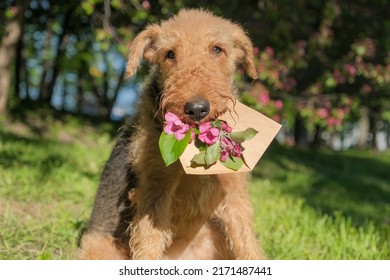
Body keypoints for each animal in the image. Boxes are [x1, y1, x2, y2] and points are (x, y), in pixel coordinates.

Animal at [77, 7, 264, 260]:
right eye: (170, 54)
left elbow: (248, 245)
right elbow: (148, 243)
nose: (196, 109)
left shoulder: (234, 193)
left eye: (217, 49)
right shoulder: (155, 190)